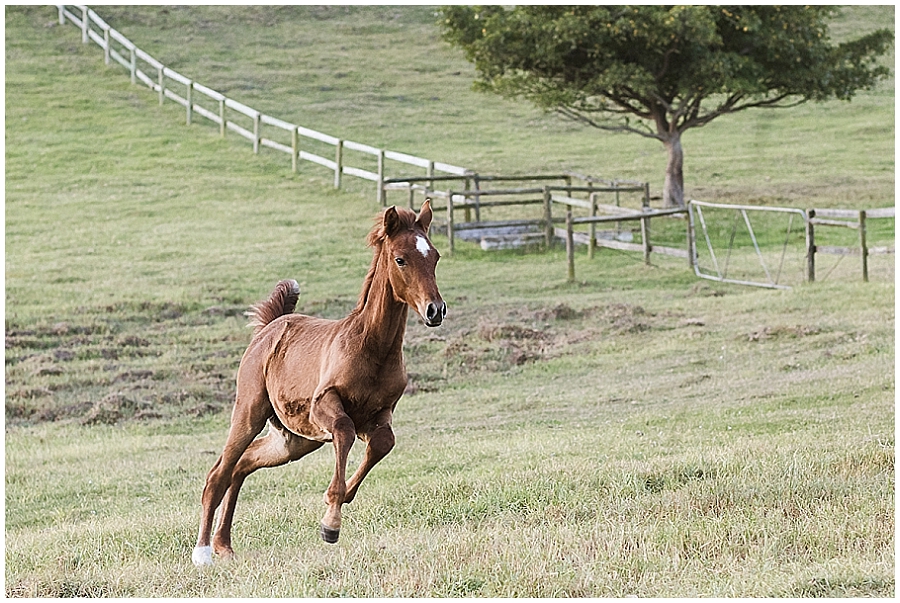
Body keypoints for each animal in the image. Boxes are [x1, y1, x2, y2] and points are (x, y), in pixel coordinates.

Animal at [192, 200, 446, 566]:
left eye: (435, 256)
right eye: (401, 259)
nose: (435, 310)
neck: (371, 347)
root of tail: (269, 328)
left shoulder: (380, 414)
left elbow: (383, 443)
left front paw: (337, 507)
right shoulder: (323, 405)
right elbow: (344, 429)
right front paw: (331, 523)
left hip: (293, 440)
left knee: (242, 466)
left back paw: (224, 544)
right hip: (250, 412)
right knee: (219, 474)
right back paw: (203, 552)